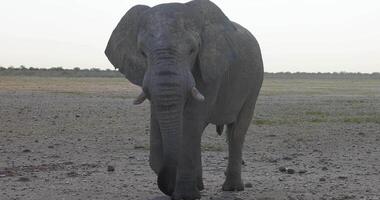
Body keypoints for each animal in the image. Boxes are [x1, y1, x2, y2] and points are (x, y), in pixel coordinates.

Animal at [105, 0, 262, 198]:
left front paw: (185, 196)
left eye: (192, 50)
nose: (167, 185)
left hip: (254, 84)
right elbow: (161, 120)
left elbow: (190, 121)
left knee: (236, 131)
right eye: (142, 52)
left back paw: (231, 188)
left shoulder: (210, 70)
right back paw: (201, 185)